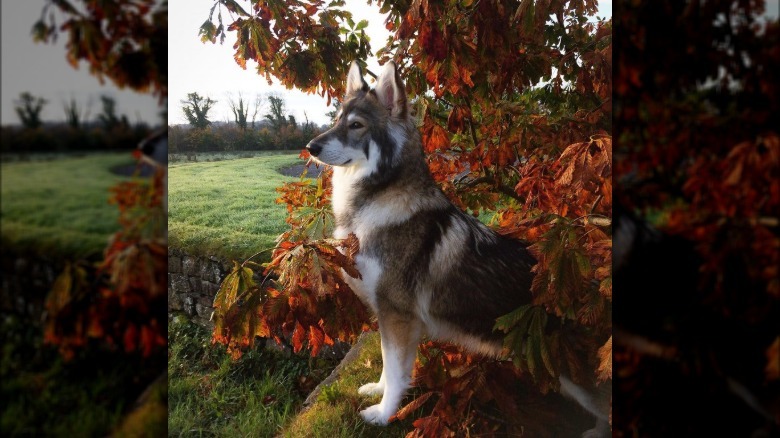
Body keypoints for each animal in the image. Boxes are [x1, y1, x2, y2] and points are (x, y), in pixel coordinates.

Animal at [305, 61, 609, 436]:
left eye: (356, 125)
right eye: (336, 121)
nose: (310, 147)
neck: (373, 202)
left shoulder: (397, 315)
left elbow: (396, 372)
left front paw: (383, 413)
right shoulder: (392, 317)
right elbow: (391, 368)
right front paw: (378, 391)